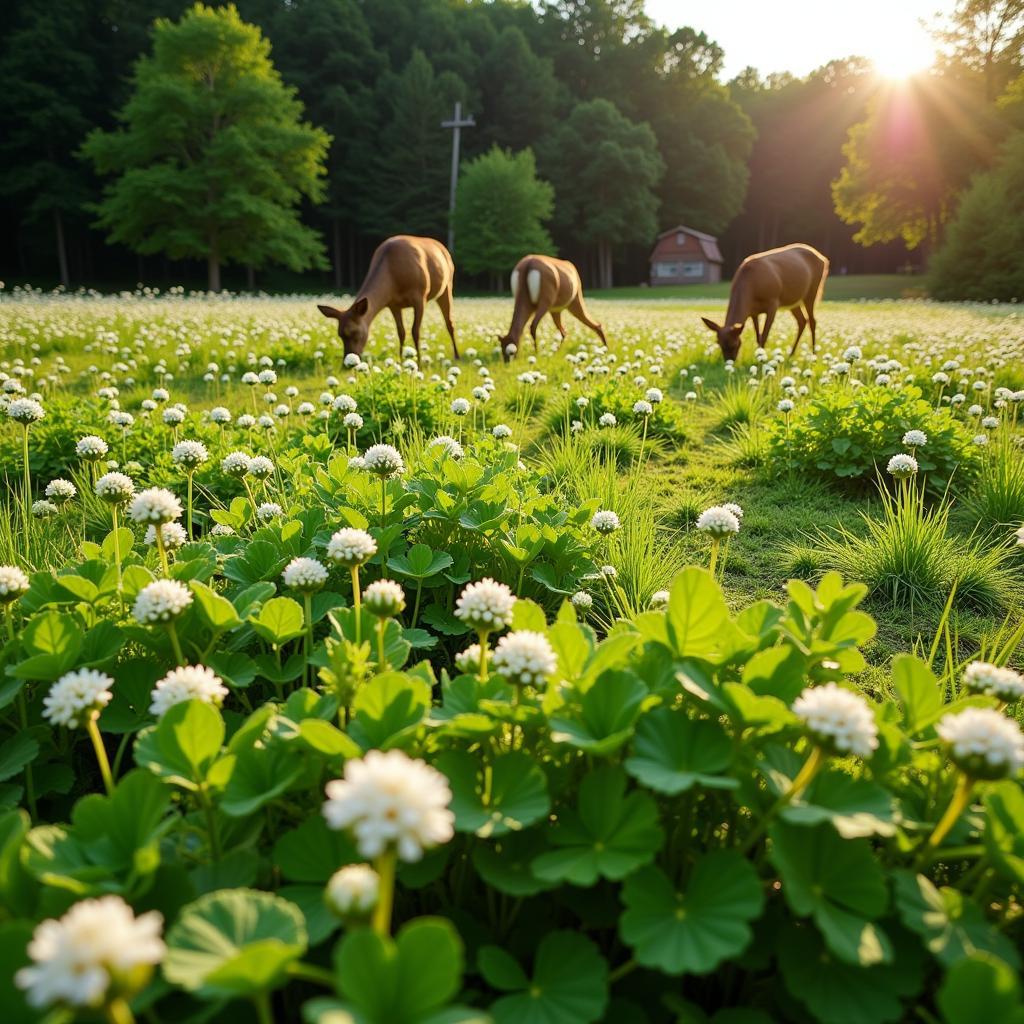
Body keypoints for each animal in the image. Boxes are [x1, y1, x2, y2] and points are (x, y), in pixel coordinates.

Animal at [311, 234, 456, 362]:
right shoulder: (393, 304)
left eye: (356, 333)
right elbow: (401, 332)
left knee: (449, 322)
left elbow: (415, 331)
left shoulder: (420, 296)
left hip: (447, 286)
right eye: (340, 335)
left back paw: (457, 355)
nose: (346, 363)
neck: (394, 277)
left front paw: (419, 364)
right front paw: (401, 361)